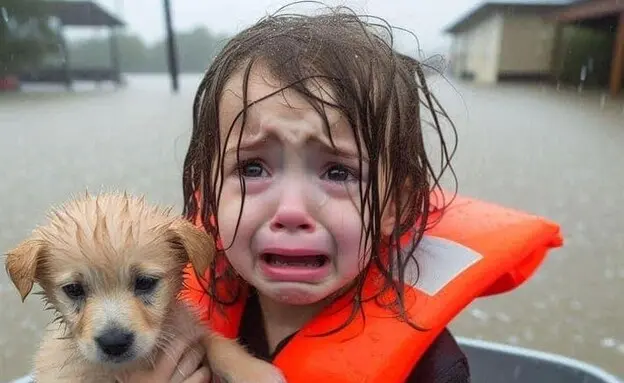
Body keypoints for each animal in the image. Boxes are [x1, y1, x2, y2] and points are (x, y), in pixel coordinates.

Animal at [6, 192, 284, 383]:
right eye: (74, 289)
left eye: (145, 282)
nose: (114, 342)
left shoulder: (185, 329)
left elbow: (216, 342)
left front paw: (256, 372)